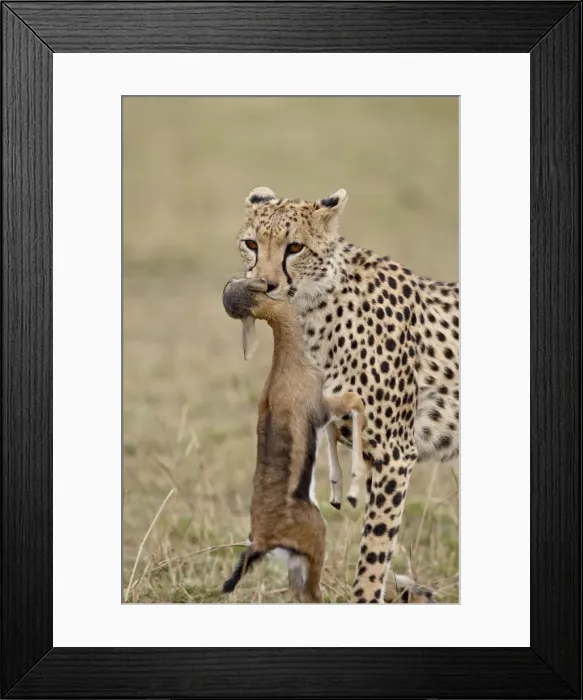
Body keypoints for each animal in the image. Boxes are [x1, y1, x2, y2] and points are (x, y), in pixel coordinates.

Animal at [236, 186, 459, 603]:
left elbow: (375, 545)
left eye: (295, 247)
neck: (314, 309)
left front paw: (369, 596)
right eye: (251, 244)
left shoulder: (394, 452)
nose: (264, 285)